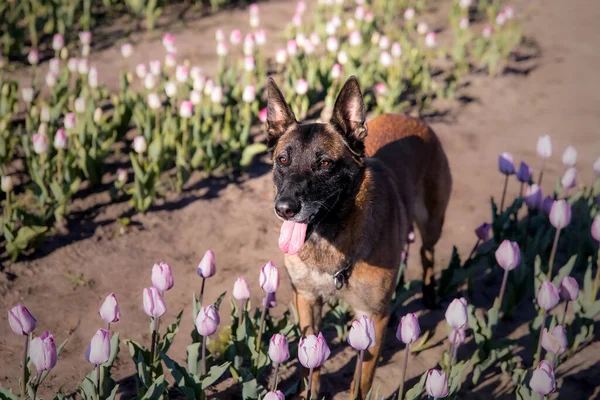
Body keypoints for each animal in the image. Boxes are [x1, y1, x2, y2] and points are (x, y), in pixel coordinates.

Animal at [266, 76, 450, 400]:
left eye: (325, 164)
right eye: (282, 160)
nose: (285, 208)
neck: (330, 238)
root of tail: (411, 117)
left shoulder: (372, 316)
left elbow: (361, 379)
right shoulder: (307, 299)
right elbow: (309, 367)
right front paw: (309, 392)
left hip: (432, 223)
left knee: (427, 254)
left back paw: (429, 294)